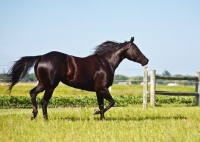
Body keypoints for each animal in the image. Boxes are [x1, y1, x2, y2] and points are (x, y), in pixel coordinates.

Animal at [6, 36, 148, 120]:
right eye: (136, 49)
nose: (146, 60)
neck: (106, 63)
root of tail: (40, 57)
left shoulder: (99, 90)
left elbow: (102, 105)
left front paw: (102, 119)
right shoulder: (102, 89)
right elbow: (111, 102)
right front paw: (95, 112)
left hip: (43, 84)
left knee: (32, 93)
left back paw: (33, 115)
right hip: (50, 86)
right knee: (44, 101)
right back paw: (45, 119)